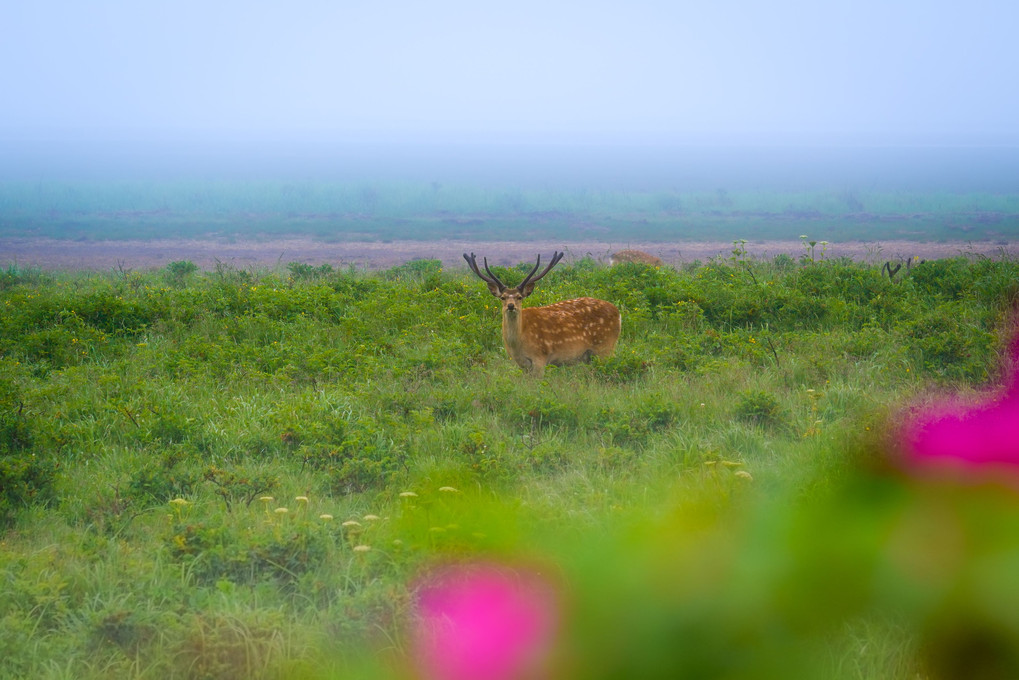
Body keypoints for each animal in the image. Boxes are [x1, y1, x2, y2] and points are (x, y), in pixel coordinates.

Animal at [464, 251, 619, 377]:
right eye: (502, 297)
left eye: (519, 297)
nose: (510, 306)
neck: (518, 344)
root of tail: (617, 312)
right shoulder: (522, 364)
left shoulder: (540, 357)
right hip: (591, 355)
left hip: (606, 346)